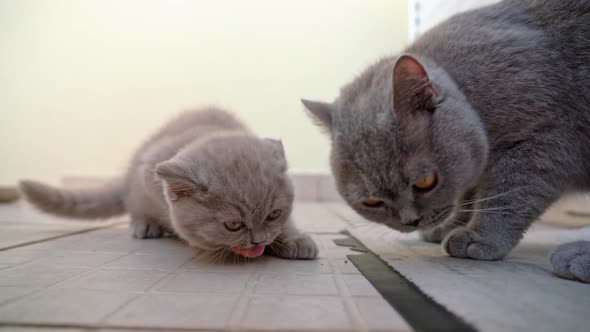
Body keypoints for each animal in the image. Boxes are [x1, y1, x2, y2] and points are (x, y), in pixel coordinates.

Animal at [20, 107, 320, 260]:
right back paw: (145, 225)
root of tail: (125, 175)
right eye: (233, 225)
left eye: (274, 214)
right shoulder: (148, 169)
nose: (259, 240)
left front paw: (294, 239)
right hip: (137, 180)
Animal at [302, 0, 590, 282]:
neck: (471, 93)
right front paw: (450, 225)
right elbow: (469, 193)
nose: (410, 221)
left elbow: (508, 195)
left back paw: (576, 256)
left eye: (425, 182)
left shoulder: (544, 139)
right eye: (372, 203)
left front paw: (478, 236)